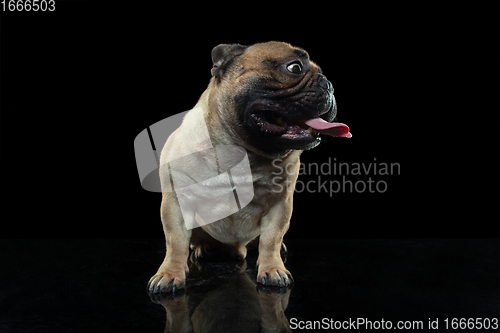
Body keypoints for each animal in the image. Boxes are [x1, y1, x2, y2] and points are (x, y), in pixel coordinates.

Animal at [147, 41, 352, 294]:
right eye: (294, 68)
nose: (329, 85)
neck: (241, 154)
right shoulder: (176, 203)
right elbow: (175, 242)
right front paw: (169, 273)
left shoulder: (279, 205)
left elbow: (271, 239)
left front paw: (273, 268)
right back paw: (205, 247)